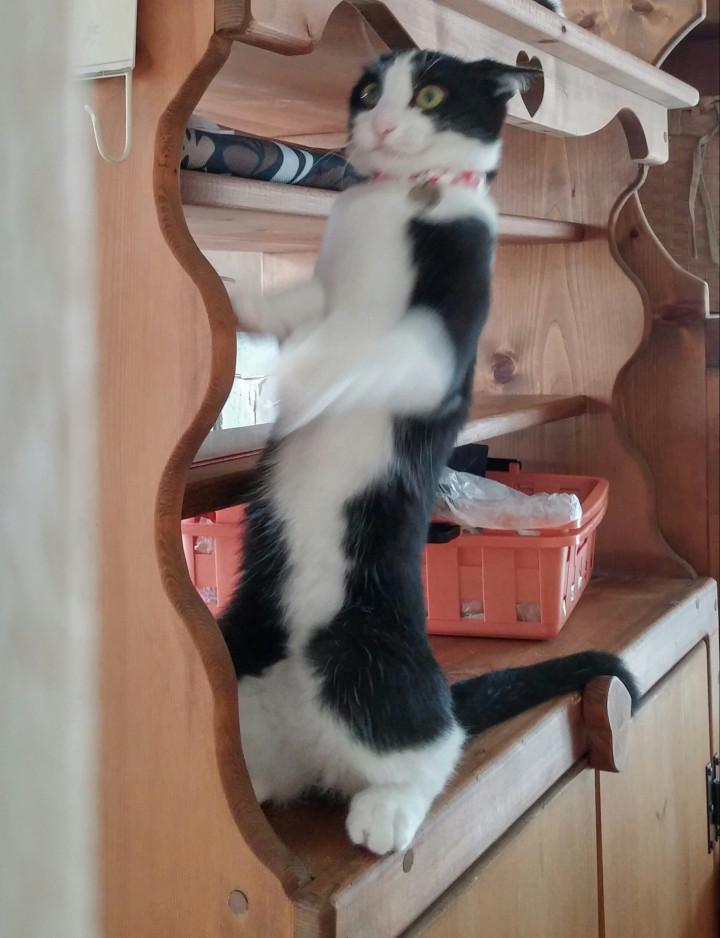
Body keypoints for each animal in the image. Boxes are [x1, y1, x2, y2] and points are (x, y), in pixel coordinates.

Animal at [220, 47, 635, 856]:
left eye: (434, 94)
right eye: (368, 91)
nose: (381, 123)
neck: (403, 201)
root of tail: (316, 751)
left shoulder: (446, 343)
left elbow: (378, 348)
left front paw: (300, 373)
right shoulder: (326, 286)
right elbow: (308, 307)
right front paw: (244, 304)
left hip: (371, 662)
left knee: (433, 746)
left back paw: (388, 812)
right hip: (240, 648)